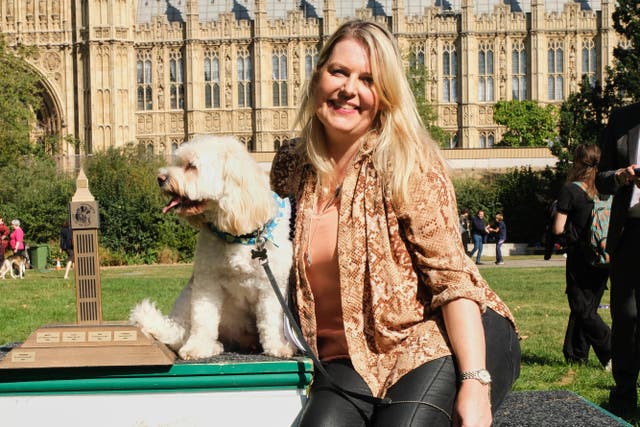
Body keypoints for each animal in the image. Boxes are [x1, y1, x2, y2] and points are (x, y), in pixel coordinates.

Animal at [132, 135, 298, 360]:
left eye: (191, 166)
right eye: (177, 161)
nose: (160, 178)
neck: (239, 236)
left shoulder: (271, 286)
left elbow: (271, 320)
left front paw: (278, 347)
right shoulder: (207, 282)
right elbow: (204, 319)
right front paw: (198, 348)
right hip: (186, 301)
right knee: (183, 334)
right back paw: (212, 345)